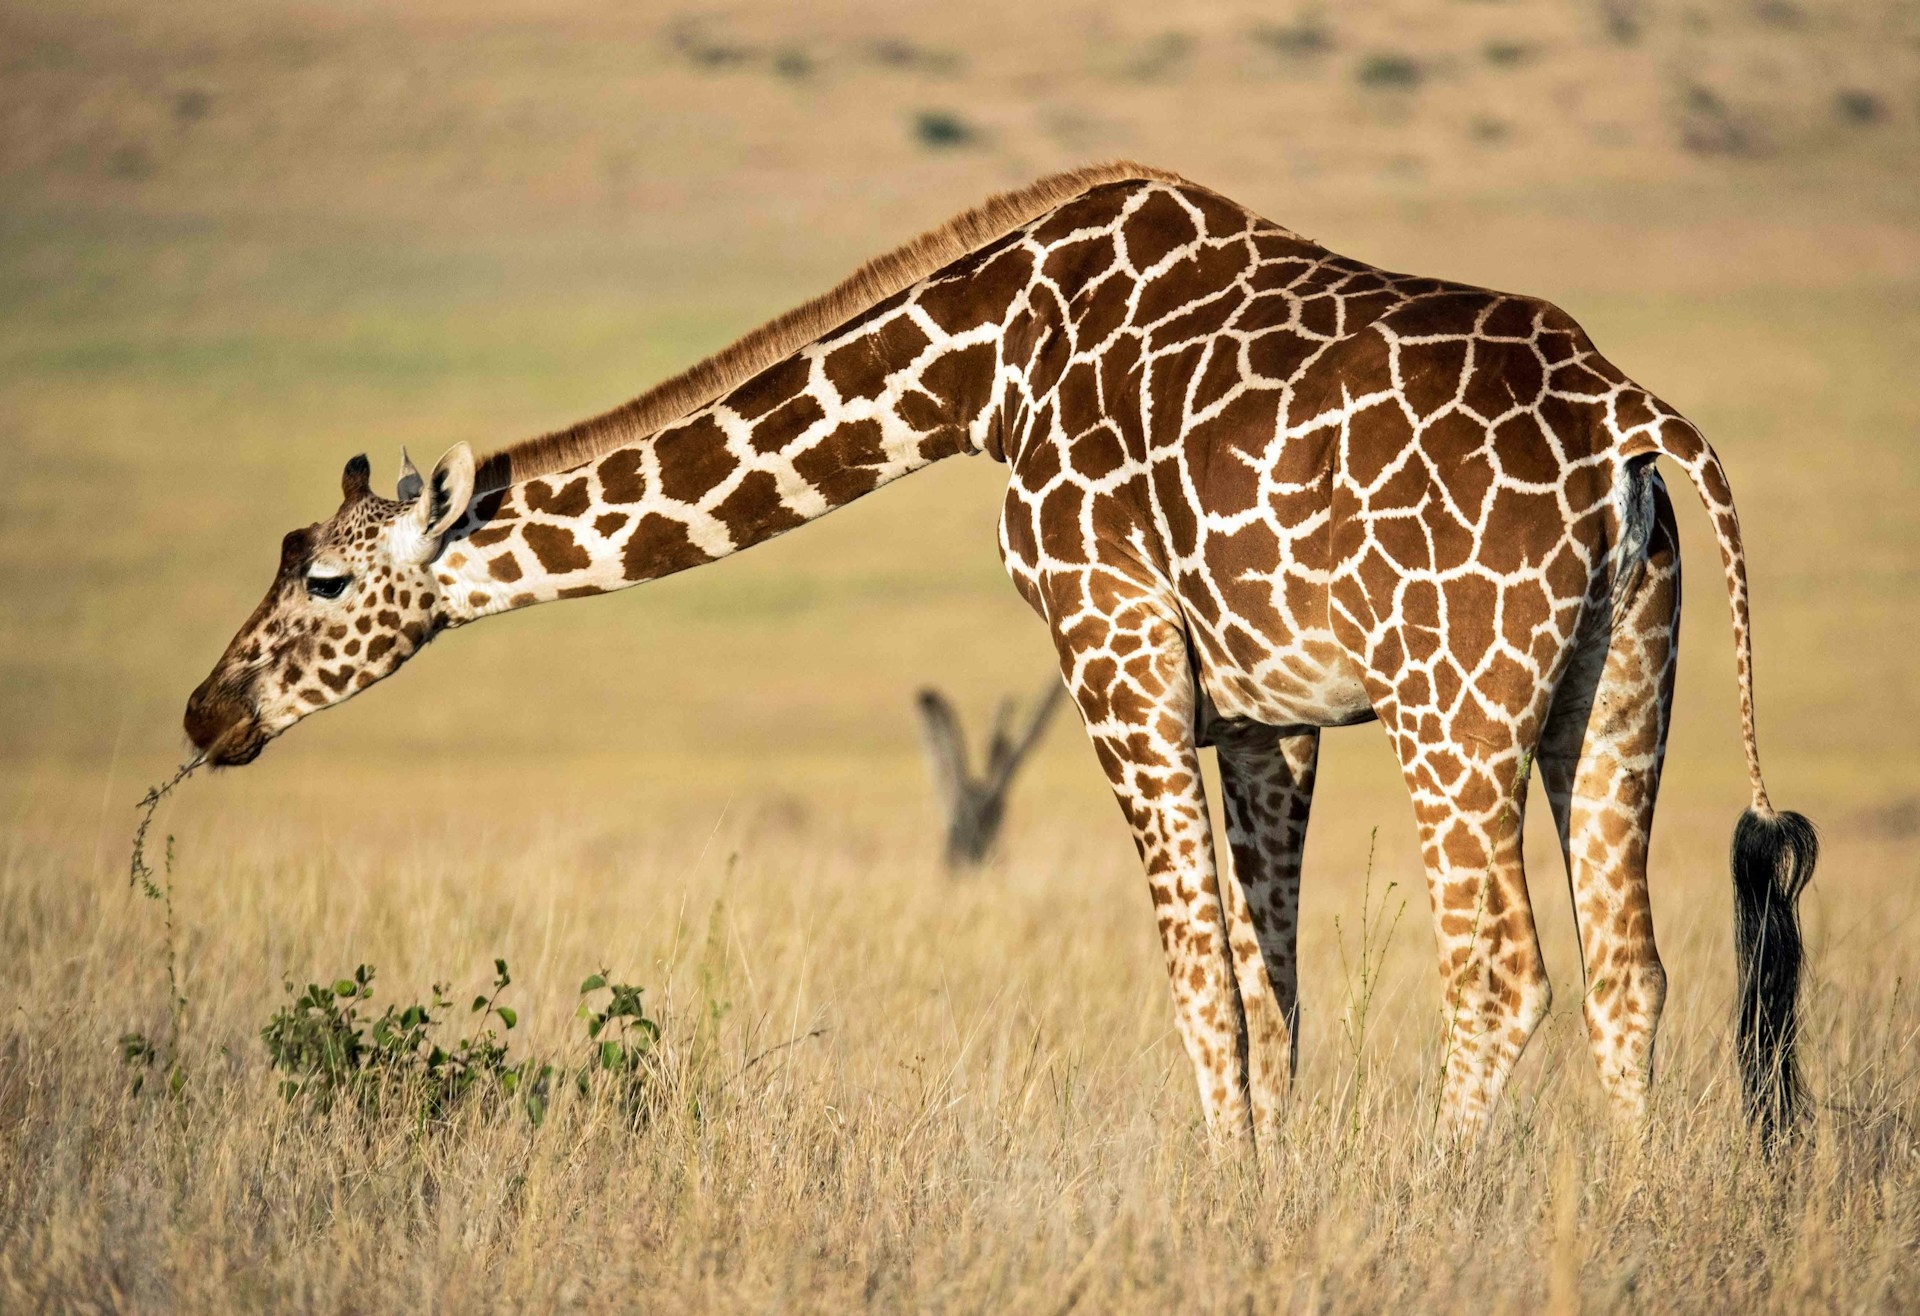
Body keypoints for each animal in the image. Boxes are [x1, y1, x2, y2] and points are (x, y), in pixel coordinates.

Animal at [191, 164, 1812, 1145]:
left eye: (323, 576)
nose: (207, 712)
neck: (982, 367)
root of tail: (1633, 420)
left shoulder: (1114, 650)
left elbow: (1200, 986)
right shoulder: (1264, 711)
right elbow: (1268, 988)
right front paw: (1275, 1206)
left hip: (1455, 700)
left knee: (1499, 972)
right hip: (1616, 682)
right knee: (1630, 970)